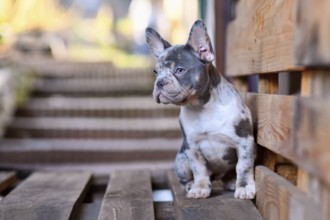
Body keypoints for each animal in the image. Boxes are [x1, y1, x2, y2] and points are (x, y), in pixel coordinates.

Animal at [146, 20, 256, 199]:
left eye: (180, 70)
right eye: (156, 72)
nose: (160, 82)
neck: (202, 107)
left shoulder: (244, 141)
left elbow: (243, 166)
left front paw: (244, 187)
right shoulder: (192, 147)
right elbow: (199, 170)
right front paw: (200, 188)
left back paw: (232, 182)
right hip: (181, 159)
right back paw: (191, 185)